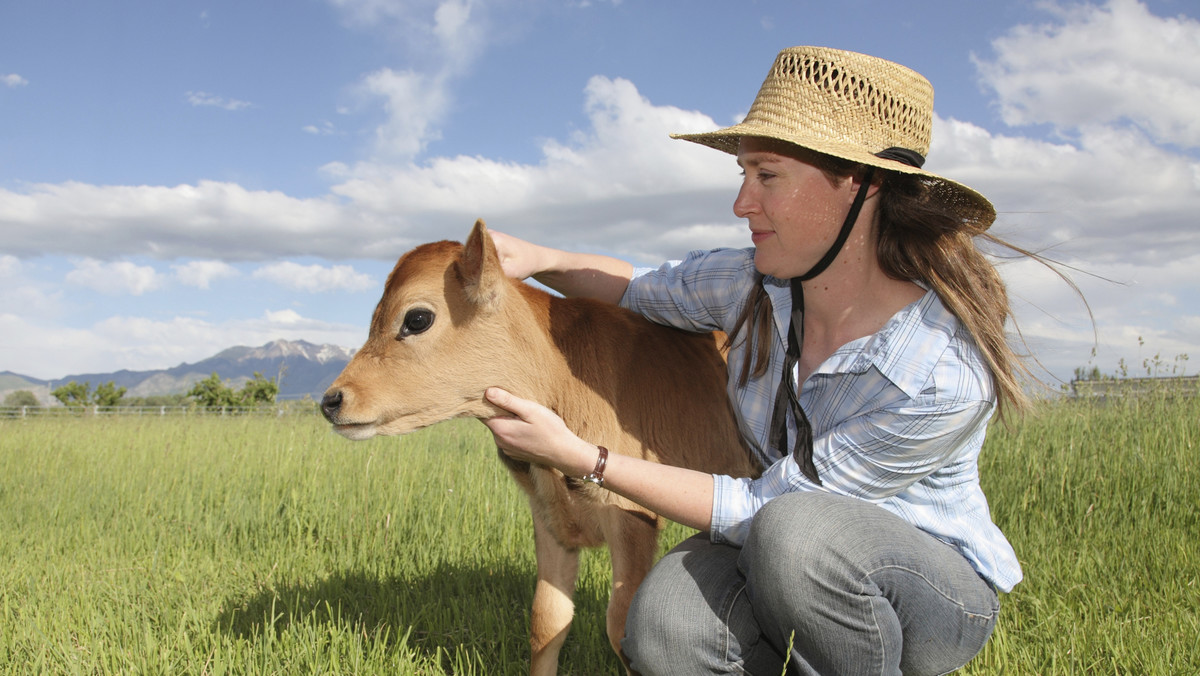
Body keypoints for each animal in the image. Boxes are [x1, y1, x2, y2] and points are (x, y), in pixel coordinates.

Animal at [321, 219, 758, 672]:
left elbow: (622, 626)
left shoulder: (631, 516)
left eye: (417, 318)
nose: (331, 401)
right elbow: (546, 621)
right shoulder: (547, 518)